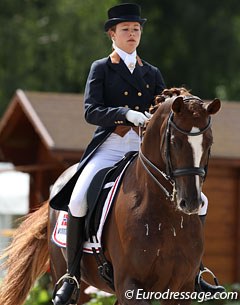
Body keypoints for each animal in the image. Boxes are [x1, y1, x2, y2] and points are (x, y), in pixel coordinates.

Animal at [0, 88, 221, 304]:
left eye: (209, 142)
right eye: (175, 142)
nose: (190, 202)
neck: (166, 218)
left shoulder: (180, 288)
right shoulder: (129, 285)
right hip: (62, 271)